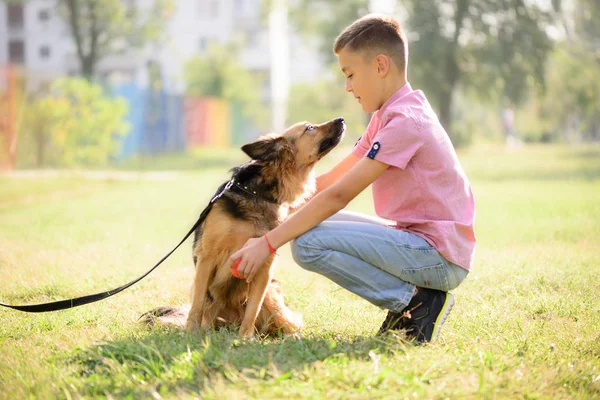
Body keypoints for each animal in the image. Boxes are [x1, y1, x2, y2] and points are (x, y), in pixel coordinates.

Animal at [141, 118, 344, 338]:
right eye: (310, 128)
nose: (341, 120)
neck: (258, 193)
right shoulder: (207, 257)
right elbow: (197, 304)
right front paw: (191, 333)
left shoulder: (264, 266)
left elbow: (253, 309)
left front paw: (245, 339)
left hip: (271, 295)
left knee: (287, 322)